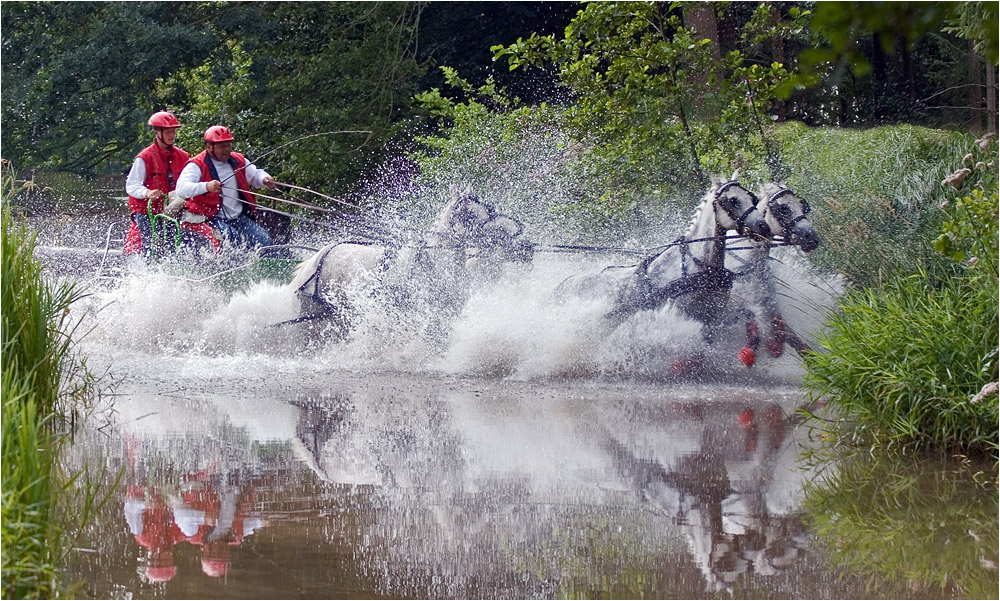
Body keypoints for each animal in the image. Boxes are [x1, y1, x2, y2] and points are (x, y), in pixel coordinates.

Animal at [556, 177, 772, 346]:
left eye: (752, 198)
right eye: (733, 200)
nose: (763, 226)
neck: (698, 267)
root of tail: (564, 283)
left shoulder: (713, 316)